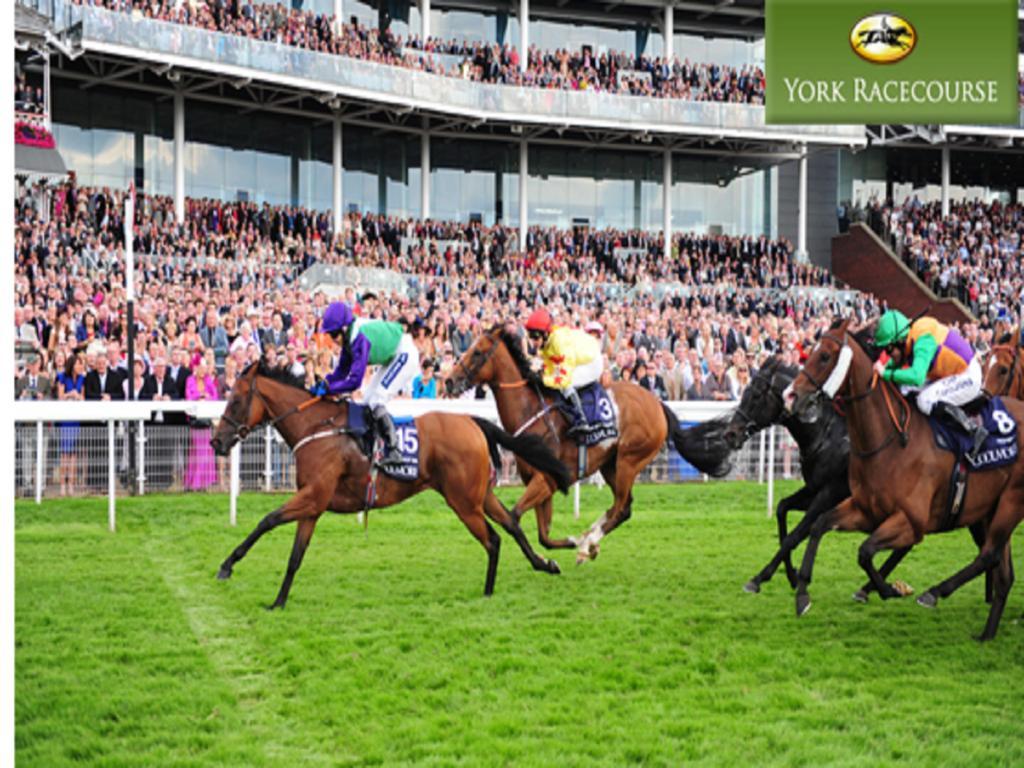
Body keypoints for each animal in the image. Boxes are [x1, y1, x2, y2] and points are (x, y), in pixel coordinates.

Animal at [210, 360, 573, 606]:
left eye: (236, 401)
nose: (216, 441)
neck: (316, 427)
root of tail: (472, 421)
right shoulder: (313, 505)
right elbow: (295, 556)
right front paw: (278, 601)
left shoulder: (313, 497)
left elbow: (266, 520)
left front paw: (227, 565)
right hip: (479, 494)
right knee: (511, 523)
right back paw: (544, 564)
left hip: (463, 501)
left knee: (493, 539)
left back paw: (487, 591)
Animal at [444, 327, 716, 561]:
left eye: (477, 352)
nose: (449, 381)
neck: (530, 411)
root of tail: (658, 403)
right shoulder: (544, 482)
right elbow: (543, 536)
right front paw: (570, 543)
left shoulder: (546, 479)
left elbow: (515, 515)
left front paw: (573, 544)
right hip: (610, 464)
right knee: (622, 507)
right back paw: (589, 539)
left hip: (629, 460)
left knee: (621, 507)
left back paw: (589, 543)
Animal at [782, 315, 1024, 638]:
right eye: (808, 351)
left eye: (824, 356)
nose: (790, 394)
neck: (889, 442)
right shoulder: (865, 510)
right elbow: (820, 525)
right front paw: (802, 593)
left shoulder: (911, 522)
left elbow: (865, 550)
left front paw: (888, 589)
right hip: (991, 509)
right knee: (1002, 571)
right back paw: (986, 634)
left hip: (1010, 503)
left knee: (989, 555)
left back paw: (934, 592)